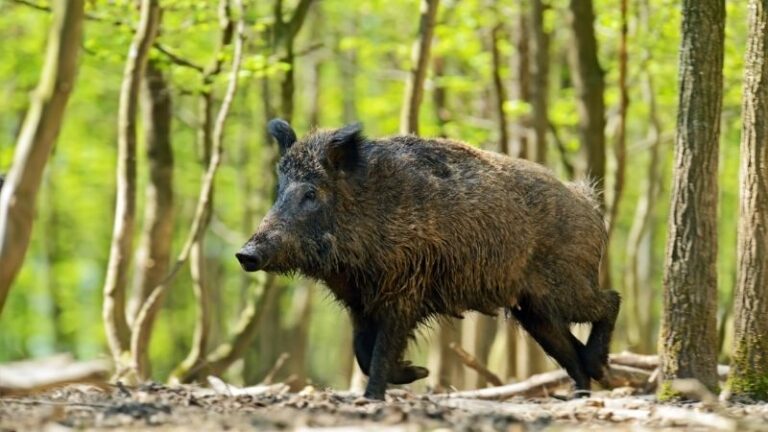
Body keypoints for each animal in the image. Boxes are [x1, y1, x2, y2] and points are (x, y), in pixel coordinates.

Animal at [237, 119, 620, 400]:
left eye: (311, 193)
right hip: (533, 309)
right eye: (279, 190)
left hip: (565, 286)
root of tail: (588, 201)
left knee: (610, 301)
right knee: (567, 347)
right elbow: (362, 350)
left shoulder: (405, 291)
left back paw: (597, 371)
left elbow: (380, 351)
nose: (245, 254)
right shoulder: (360, 302)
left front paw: (378, 396)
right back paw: (580, 391)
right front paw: (415, 373)